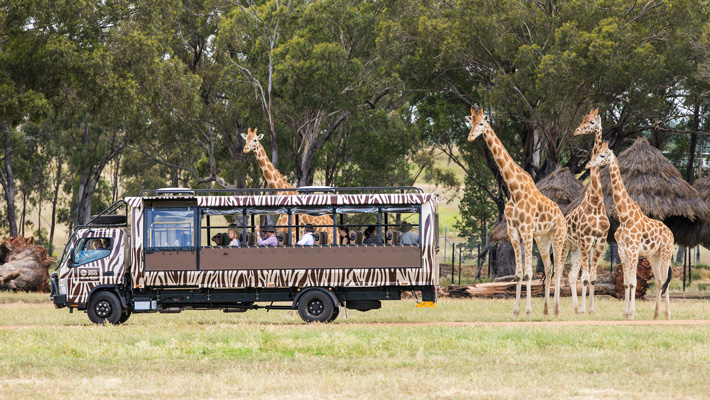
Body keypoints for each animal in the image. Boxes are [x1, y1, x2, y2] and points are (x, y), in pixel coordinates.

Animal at [468, 108, 568, 316]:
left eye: (482, 123)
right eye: (470, 122)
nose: (470, 137)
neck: (514, 190)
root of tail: (562, 216)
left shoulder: (526, 229)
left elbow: (529, 273)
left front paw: (528, 311)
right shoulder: (513, 230)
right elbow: (518, 273)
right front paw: (516, 311)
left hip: (558, 236)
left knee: (559, 268)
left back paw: (556, 310)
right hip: (543, 239)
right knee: (548, 268)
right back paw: (546, 310)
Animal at [588, 142, 676, 320]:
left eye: (602, 155)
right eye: (596, 152)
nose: (588, 164)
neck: (624, 216)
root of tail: (670, 233)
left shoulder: (634, 250)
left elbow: (634, 282)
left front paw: (632, 314)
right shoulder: (623, 250)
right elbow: (627, 282)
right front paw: (625, 313)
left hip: (666, 252)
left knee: (665, 279)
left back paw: (667, 314)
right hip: (654, 255)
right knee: (658, 280)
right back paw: (656, 313)